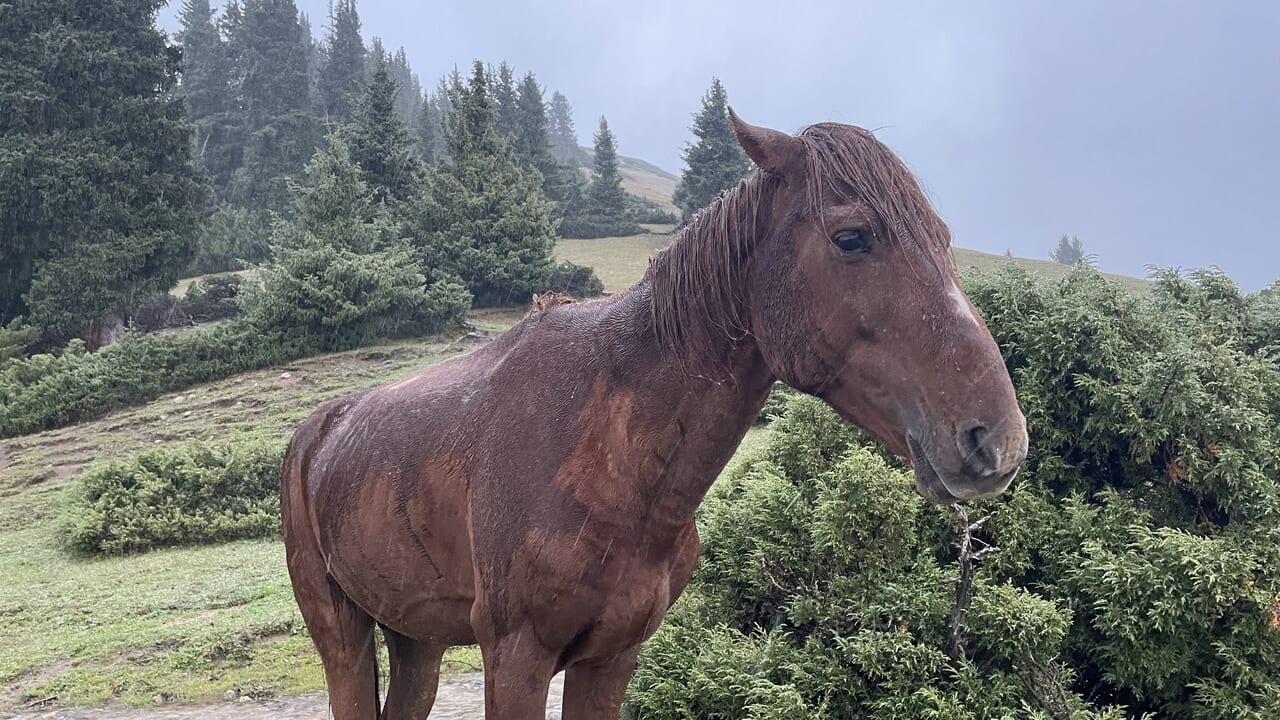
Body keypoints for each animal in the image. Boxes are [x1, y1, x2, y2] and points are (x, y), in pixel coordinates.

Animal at [280, 109, 1029, 712]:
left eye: (942, 236)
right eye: (852, 237)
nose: (998, 438)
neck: (609, 452)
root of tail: (318, 433)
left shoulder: (610, 661)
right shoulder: (516, 659)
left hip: (417, 643)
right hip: (343, 640)